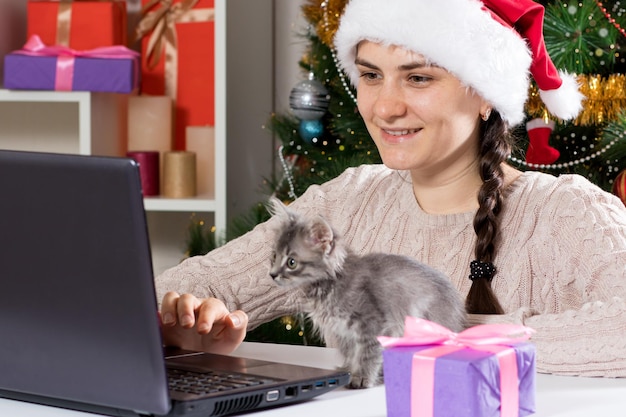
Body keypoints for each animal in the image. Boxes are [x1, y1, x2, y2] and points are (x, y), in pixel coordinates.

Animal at [266, 198, 466, 386]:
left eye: (291, 262)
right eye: (274, 256)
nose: (272, 274)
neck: (328, 287)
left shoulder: (374, 323)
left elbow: (367, 353)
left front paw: (361, 378)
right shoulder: (343, 332)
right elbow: (351, 353)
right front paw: (348, 370)